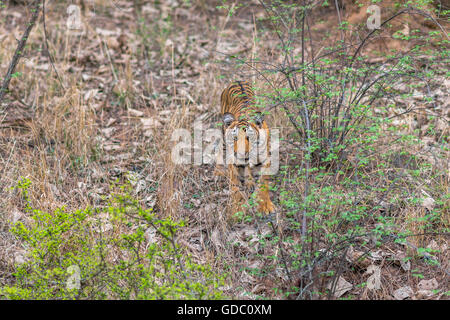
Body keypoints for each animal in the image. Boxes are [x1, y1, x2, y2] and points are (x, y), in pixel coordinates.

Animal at [217, 80, 276, 216]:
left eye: (249, 138)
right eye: (234, 138)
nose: (241, 154)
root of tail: (236, 80)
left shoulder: (266, 158)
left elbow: (264, 182)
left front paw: (265, 206)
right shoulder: (232, 161)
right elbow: (235, 185)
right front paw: (238, 209)